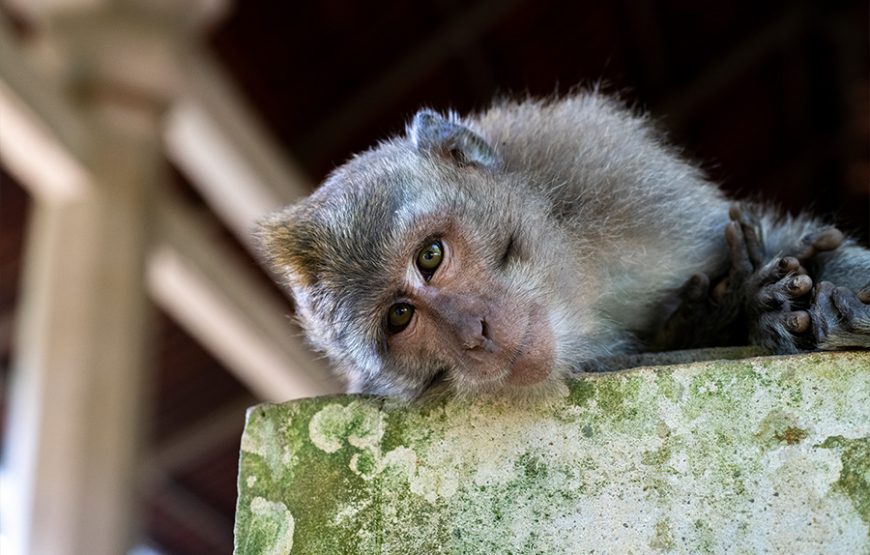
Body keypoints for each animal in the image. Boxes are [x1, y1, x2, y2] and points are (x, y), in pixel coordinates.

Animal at [258, 92, 870, 400]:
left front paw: (817, 304)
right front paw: (735, 311)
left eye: (430, 256)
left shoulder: (615, 178)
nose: (473, 333)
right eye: (400, 317)